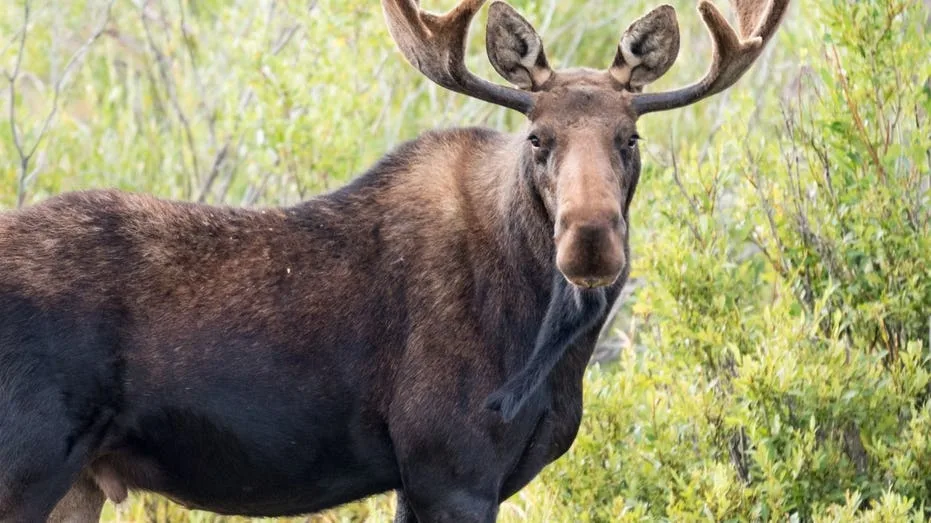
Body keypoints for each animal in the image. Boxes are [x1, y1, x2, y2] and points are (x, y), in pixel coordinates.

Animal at [0, 0, 789, 521]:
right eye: (537, 137)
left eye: (630, 137)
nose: (589, 240)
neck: (553, 348)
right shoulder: (448, 465)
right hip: (27, 464)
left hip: (76, 482)